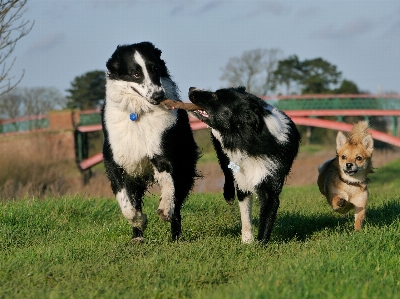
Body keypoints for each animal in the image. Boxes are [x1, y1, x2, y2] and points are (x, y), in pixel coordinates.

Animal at [101, 42, 199, 243]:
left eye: (155, 69)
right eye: (136, 74)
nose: (159, 95)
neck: (138, 113)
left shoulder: (163, 154)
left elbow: (169, 186)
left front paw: (165, 209)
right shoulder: (115, 162)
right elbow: (126, 203)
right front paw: (139, 221)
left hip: (185, 165)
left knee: (178, 202)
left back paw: (176, 236)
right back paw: (137, 237)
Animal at [188, 86, 300, 244]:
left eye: (216, 96)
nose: (191, 88)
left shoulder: (271, 184)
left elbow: (266, 218)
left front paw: (260, 245)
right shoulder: (242, 180)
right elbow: (246, 215)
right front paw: (247, 241)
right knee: (227, 172)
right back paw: (228, 195)